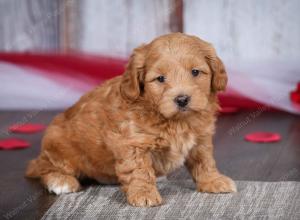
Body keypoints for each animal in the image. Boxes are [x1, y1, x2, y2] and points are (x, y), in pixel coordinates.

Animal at [25, 32, 237, 206]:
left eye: (195, 72)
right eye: (160, 79)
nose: (182, 99)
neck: (176, 120)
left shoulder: (201, 138)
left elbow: (204, 161)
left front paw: (213, 181)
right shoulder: (133, 142)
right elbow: (139, 170)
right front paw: (144, 194)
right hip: (59, 145)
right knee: (42, 166)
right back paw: (60, 181)